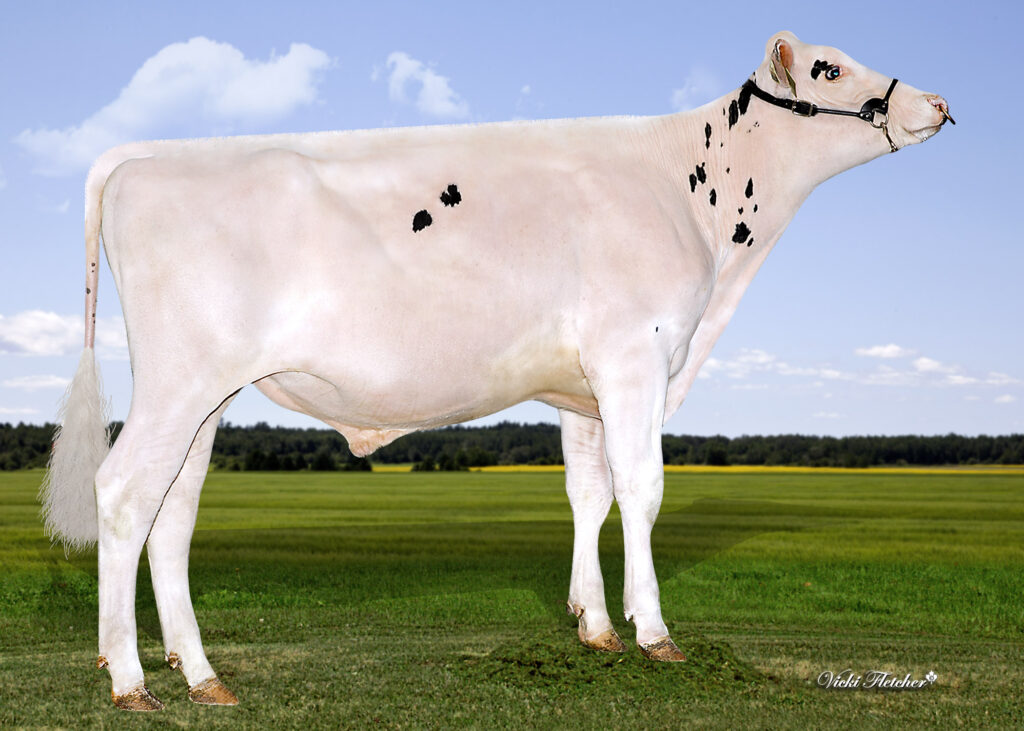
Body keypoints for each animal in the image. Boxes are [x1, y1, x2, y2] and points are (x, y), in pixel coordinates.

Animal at [40, 31, 952, 710]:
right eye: (830, 68)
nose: (938, 105)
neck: (693, 197)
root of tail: (142, 157)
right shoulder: (636, 356)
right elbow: (644, 488)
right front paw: (655, 632)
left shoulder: (582, 386)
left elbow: (589, 491)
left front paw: (594, 624)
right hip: (180, 380)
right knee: (124, 492)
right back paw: (129, 678)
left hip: (205, 393)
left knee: (173, 511)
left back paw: (201, 674)